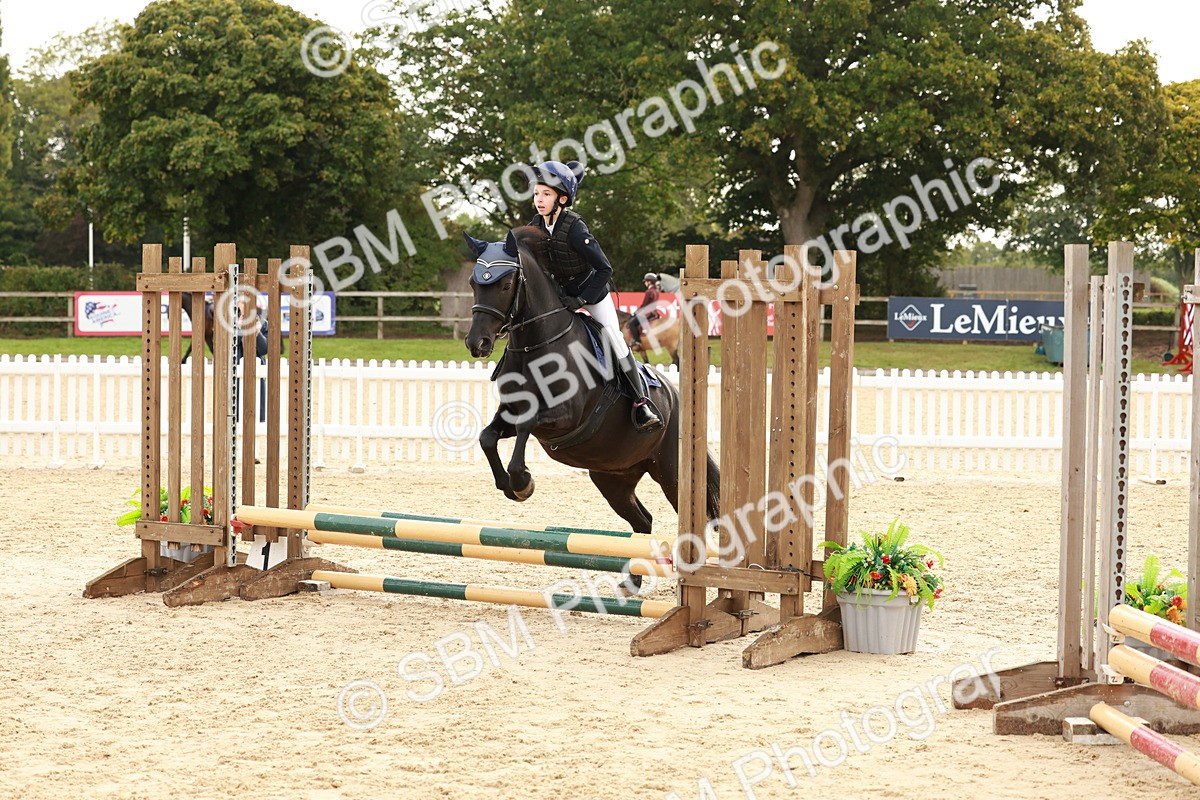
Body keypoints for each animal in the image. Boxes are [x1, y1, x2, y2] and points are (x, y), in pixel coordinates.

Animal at [463, 226, 719, 546]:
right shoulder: (510, 411)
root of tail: (678, 399)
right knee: (643, 521)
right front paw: (509, 485)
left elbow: (526, 425)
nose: (477, 343)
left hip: (672, 474)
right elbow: (487, 437)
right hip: (612, 476)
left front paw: (522, 481)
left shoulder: (564, 418)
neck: (535, 345)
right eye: (474, 282)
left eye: (506, 284)